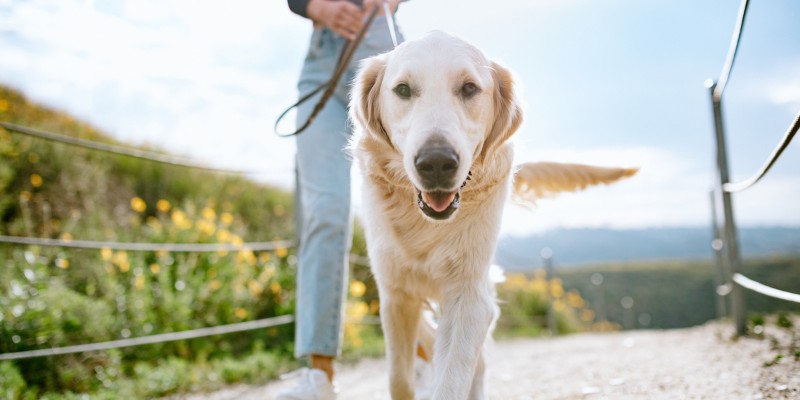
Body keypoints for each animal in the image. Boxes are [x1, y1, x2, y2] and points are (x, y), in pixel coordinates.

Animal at [350, 32, 636, 400]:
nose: (436, 163)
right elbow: (399, 379)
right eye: (402, 89)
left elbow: (453, 377)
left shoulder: (470, 295)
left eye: (469, 88)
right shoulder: (395, 294)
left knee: (477, 360)